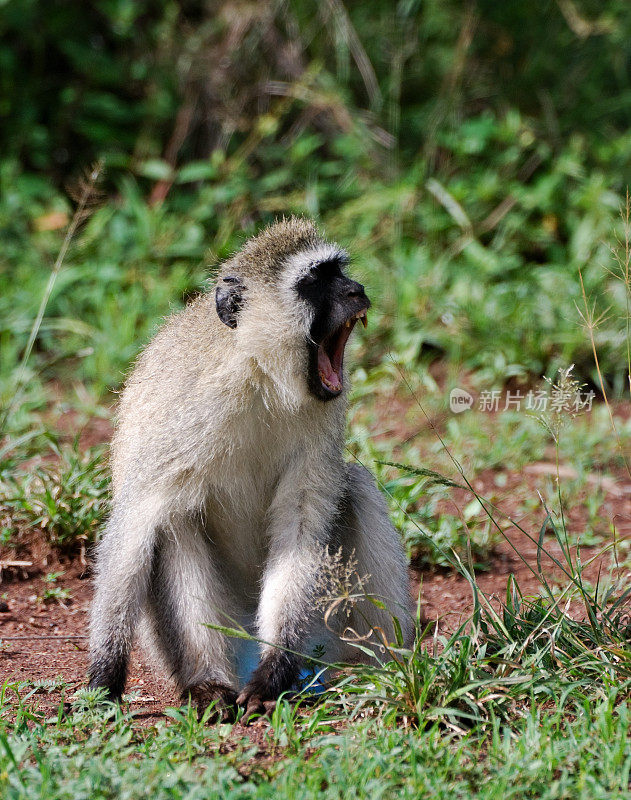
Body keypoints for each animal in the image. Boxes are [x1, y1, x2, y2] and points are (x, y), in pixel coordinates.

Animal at [90, 217, 414, 720]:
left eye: (339, 272)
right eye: (314, 281)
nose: (357, 289)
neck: (258, 373)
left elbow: (301, 521)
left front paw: (275, 670)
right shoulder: (178, 413)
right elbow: (137, 519)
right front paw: (104, 676)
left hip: (322, 634)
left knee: (356, 486)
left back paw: (370, 671)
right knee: (175, 522)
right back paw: (207, 682)